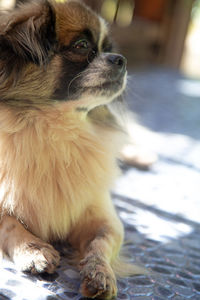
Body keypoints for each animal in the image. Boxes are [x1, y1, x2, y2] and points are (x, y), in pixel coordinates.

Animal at [0, 1, 138, 298]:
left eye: (108, 48)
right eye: (82, 45)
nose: (120, 59)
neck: (57, 129)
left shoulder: (104, 217)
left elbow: (101, 243)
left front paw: (100, 273)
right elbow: (9, 221)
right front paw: (33, 250)